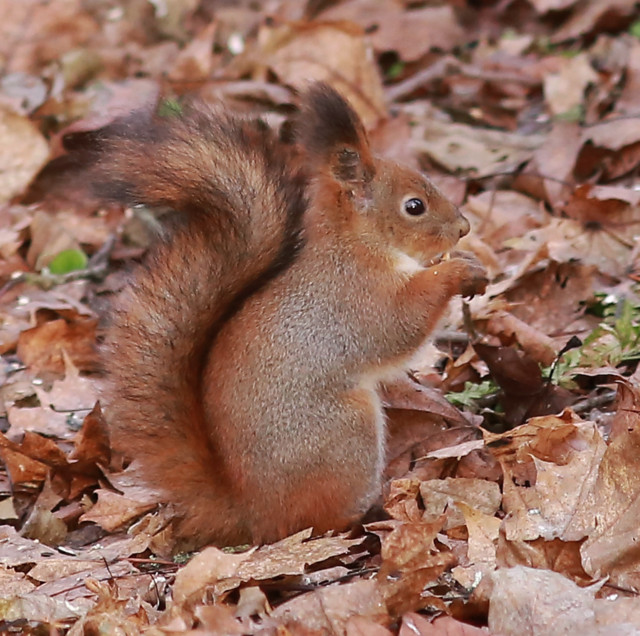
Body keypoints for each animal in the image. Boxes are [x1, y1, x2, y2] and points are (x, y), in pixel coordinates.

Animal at [92, 83, 488, 552]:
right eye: (414, 206)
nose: (464, 228)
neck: (356, 245)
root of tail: (251, 512)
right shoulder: (358, 298)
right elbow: (401, 324)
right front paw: (456, 272)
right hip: (346, 433)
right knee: (318, 520)